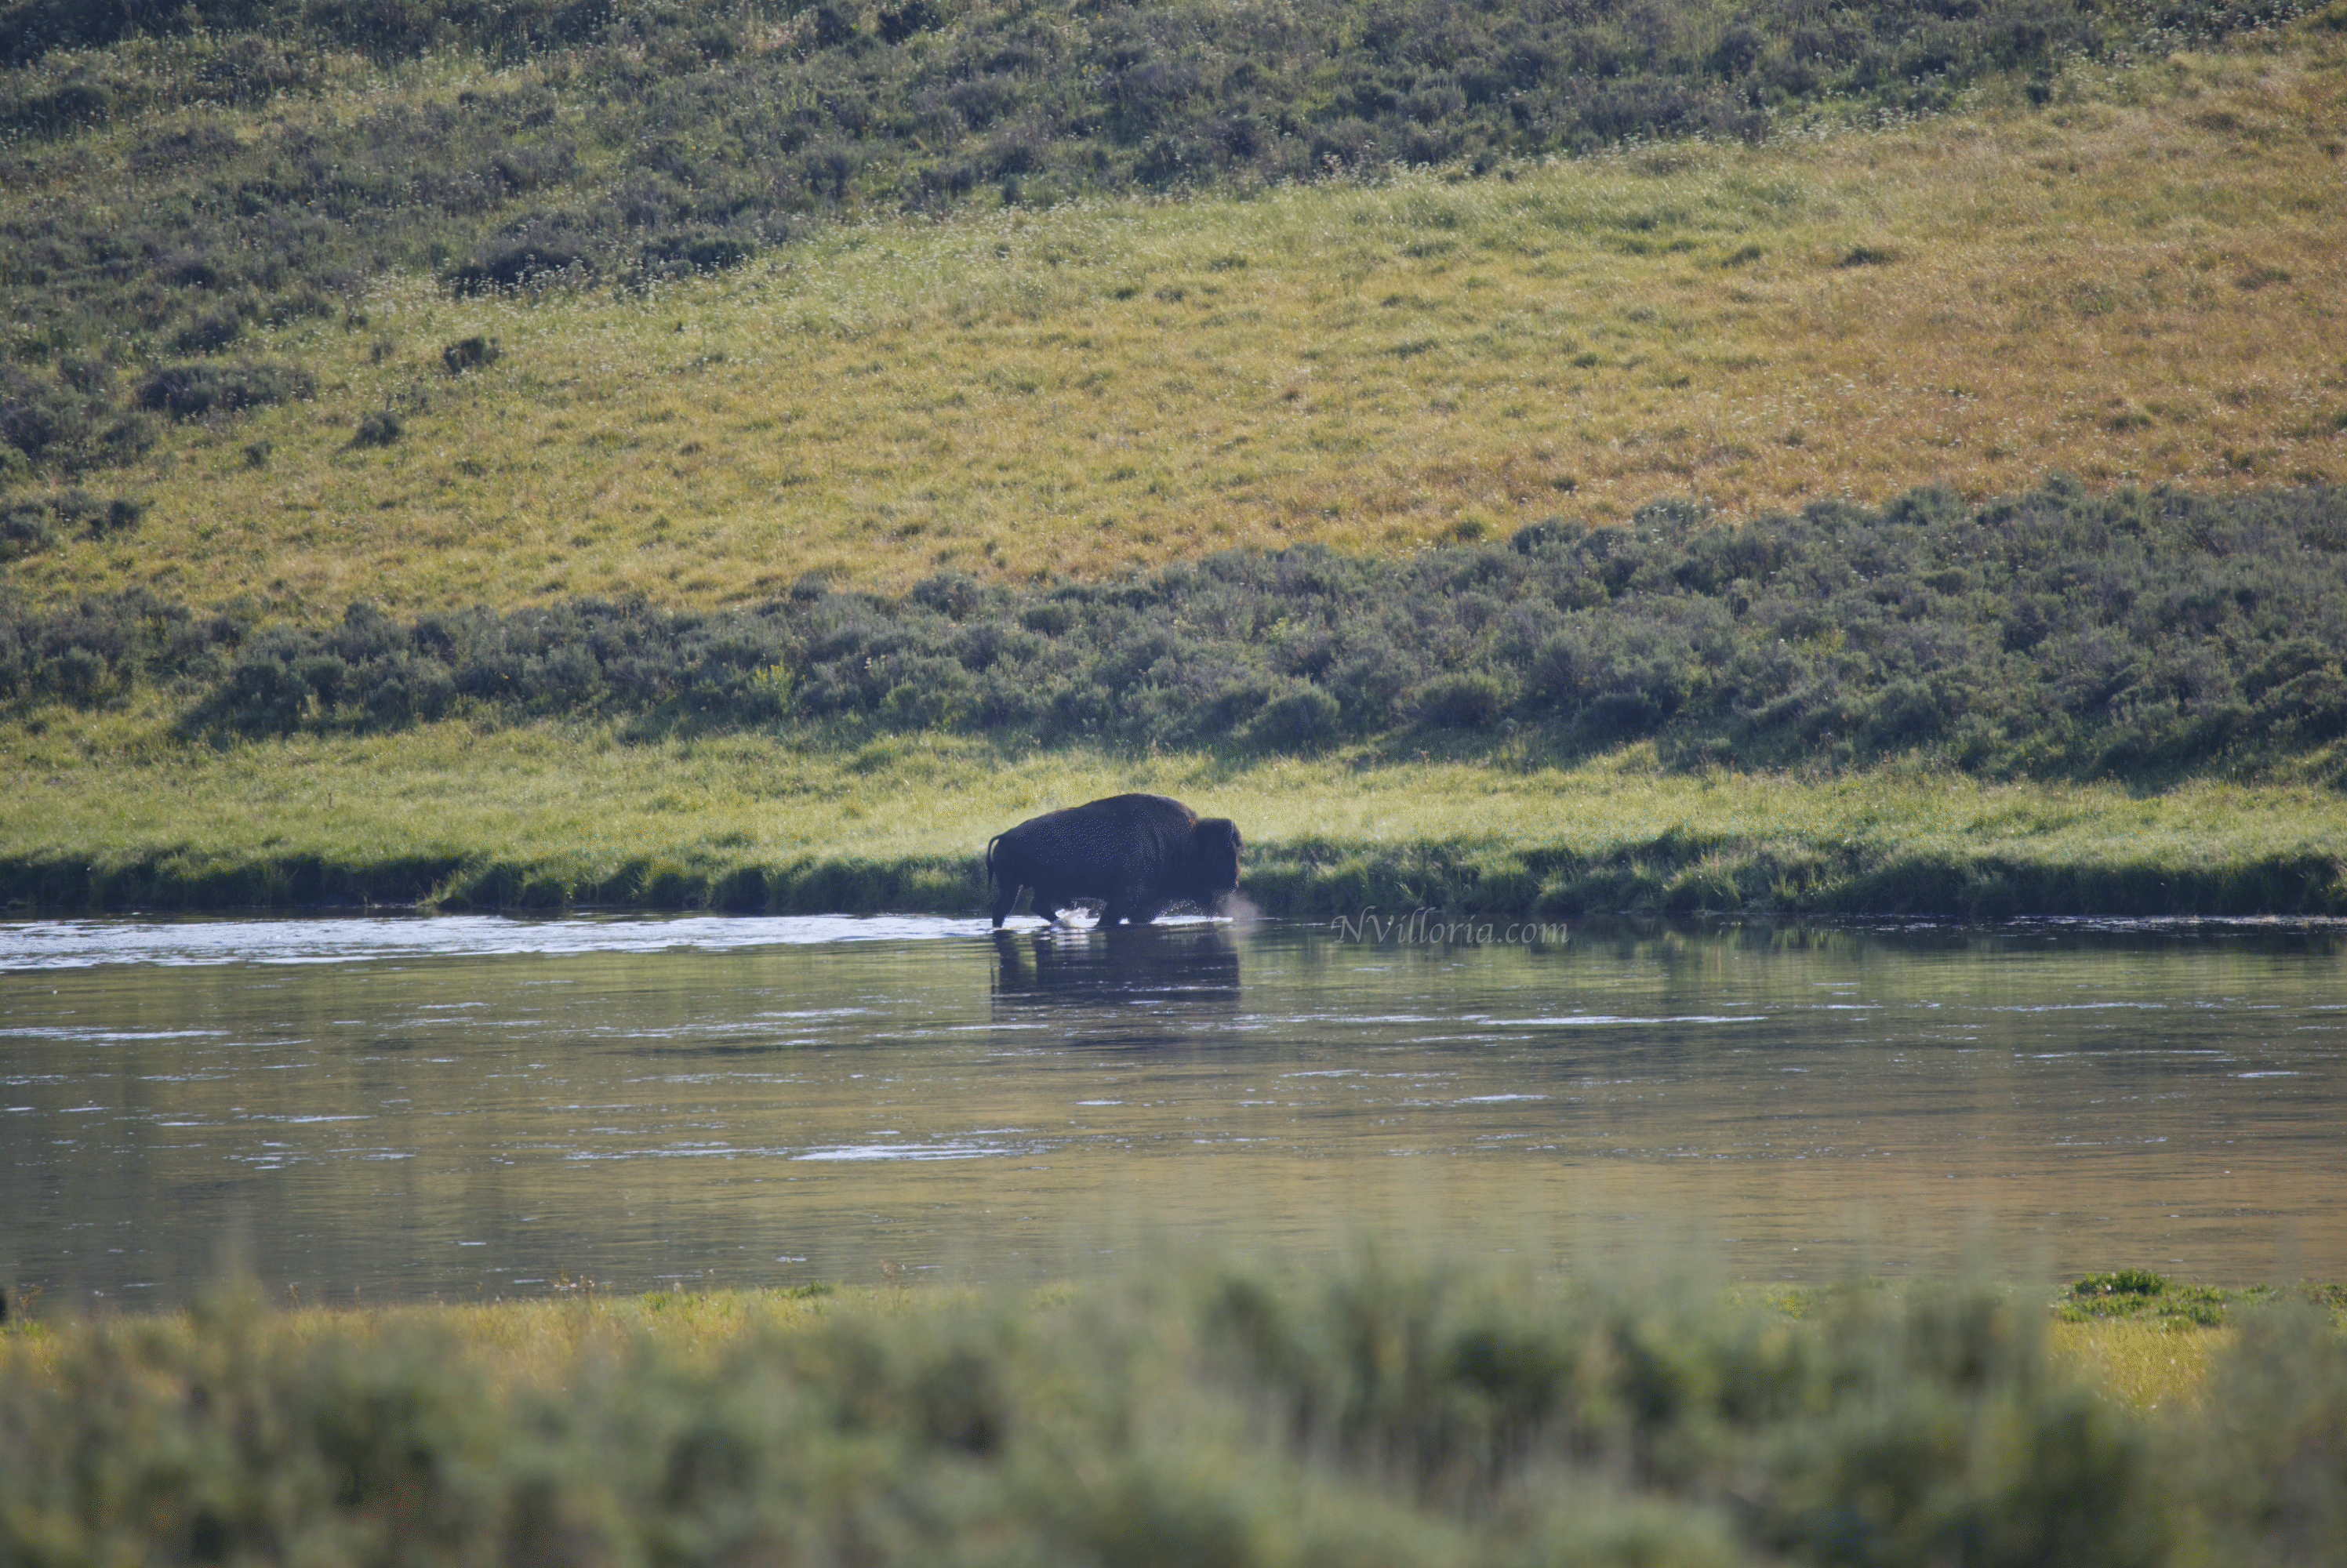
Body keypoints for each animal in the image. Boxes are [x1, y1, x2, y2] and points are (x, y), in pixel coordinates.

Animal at [986, 792, 1242, 928]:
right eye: (1225, 853)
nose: (1236, 881)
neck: (1187, 839)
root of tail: (1005, 836)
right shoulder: (1126, 897)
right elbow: (1108, 919)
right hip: (1016, 887)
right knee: (1009, 910)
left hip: (1027, 888)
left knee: (1025, 908)